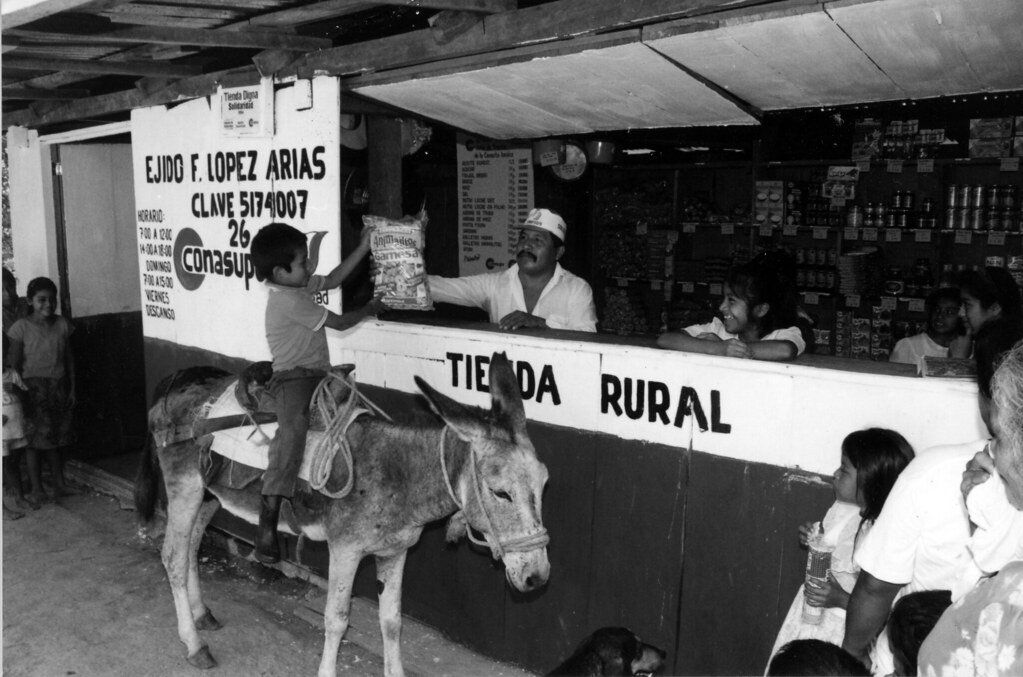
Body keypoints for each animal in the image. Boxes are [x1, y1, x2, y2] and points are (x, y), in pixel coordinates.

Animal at [134, 352, 550, 677]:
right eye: (500, 492)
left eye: (545, 483)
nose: (537, 578)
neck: (398, 473)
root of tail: (175, 381)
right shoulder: (345, 550)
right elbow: (336, 620)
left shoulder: (395, 552)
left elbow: (392, 622)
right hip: (185, 486)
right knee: (172, 556)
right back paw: (194, 644)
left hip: (208, 494)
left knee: (191, 545)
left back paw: (201, 615)